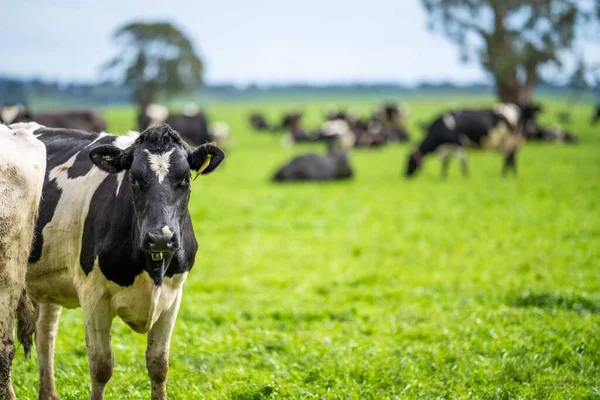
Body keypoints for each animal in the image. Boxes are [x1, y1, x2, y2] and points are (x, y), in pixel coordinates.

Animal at [22, 123, 225, 398]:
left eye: (185, 179)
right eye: (134, 178)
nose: (160, 238)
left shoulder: (173, 296)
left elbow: (159, 364)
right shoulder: (93, 295)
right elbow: (101, 366)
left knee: (45, 334)